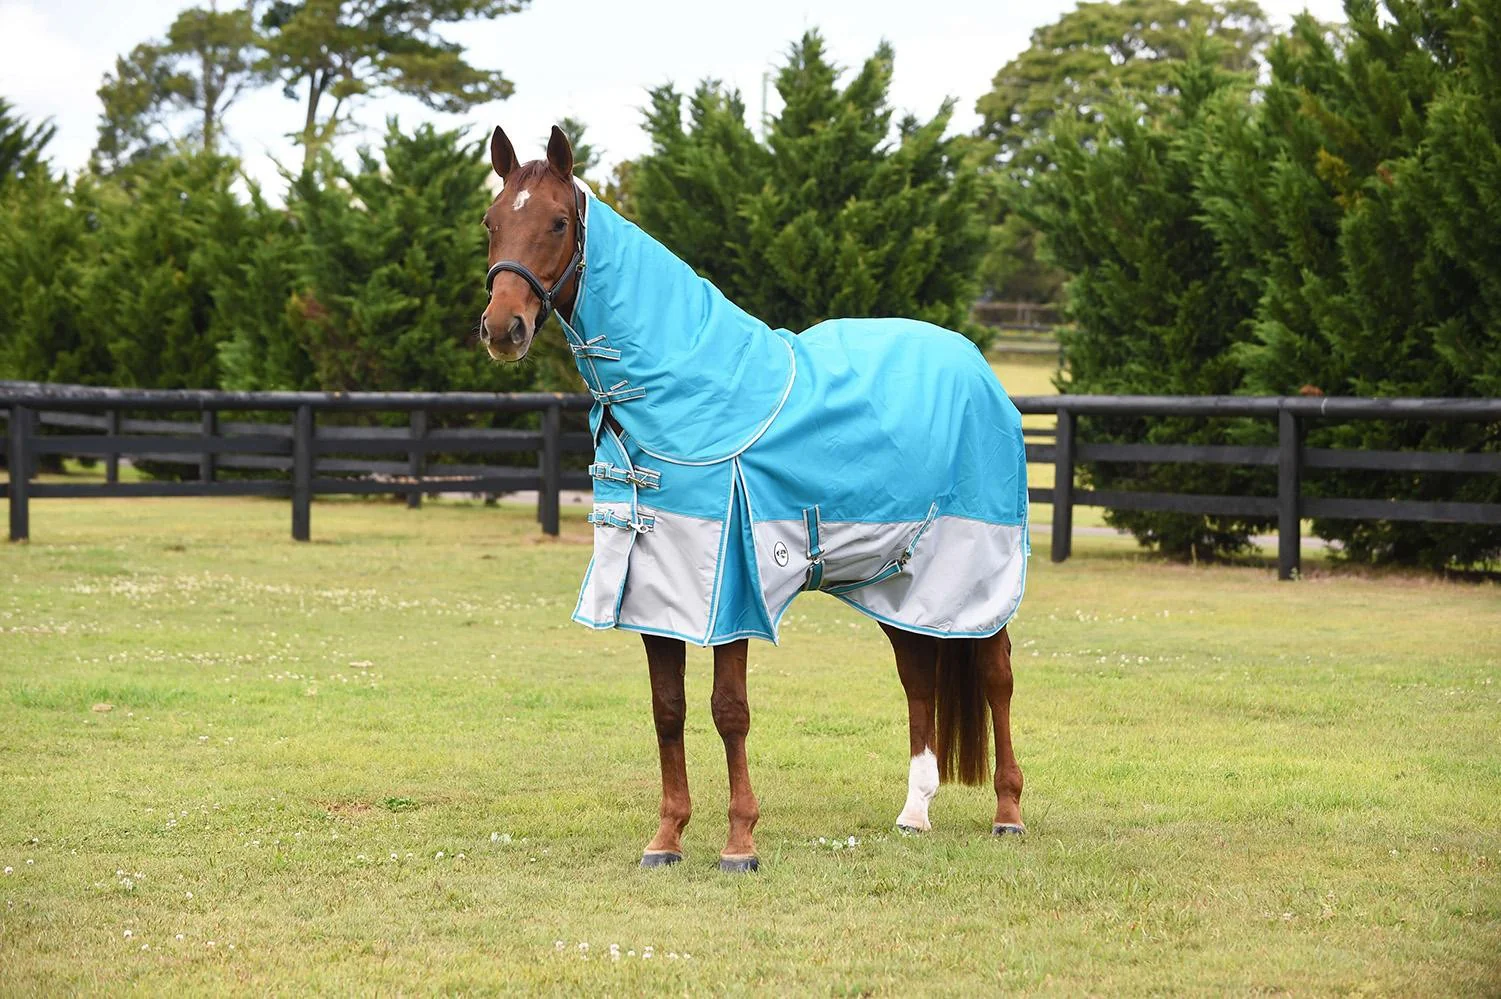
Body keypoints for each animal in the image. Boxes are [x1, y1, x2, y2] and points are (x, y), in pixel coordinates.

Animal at [479, 125, 1029, 873]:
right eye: (492, 222)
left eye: (558, 222)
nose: (501, 327)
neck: (687, 394)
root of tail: (978, 368)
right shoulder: (654, 592)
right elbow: (668, 709)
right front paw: (666, 838)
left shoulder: (730, 590)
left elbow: (728, 709)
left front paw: (740, 842)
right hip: (901, 582)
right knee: (918, 675)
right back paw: (913, 814)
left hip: (973, 573)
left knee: (996, 677)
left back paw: (1008, 814)